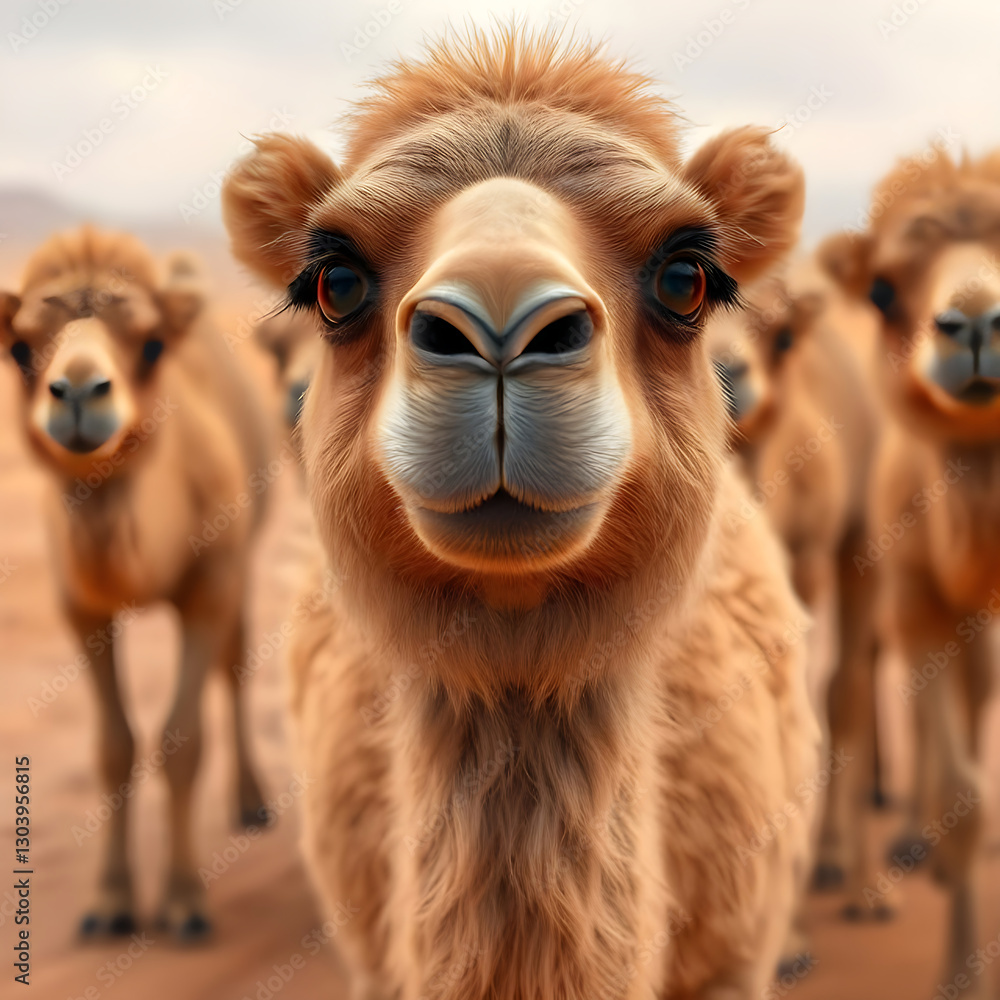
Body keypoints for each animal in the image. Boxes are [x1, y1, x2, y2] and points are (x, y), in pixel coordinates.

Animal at [0, 227, 272, 941]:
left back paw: (253, 802)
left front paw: (183, 904)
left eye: (151, 344)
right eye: (19, 347)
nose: (77, 393)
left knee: (235, 663)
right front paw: (110, 904)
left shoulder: (209, 580)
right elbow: (112, 746)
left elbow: (182, 739)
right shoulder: (80, 607)